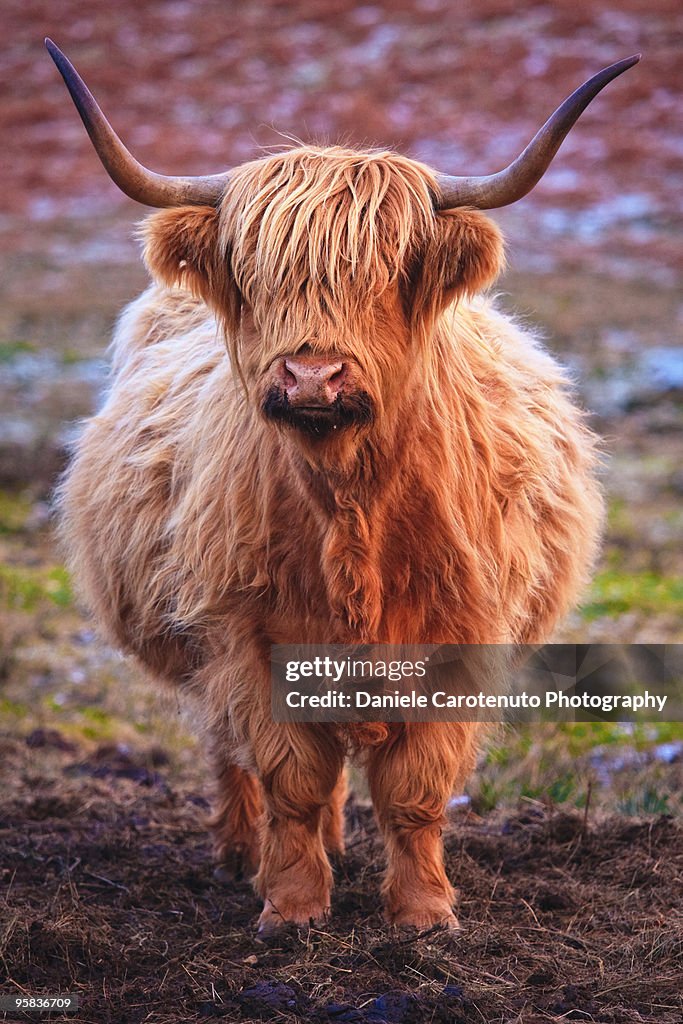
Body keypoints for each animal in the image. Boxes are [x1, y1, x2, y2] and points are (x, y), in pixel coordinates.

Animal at [49, 39, 643, 933]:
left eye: (388, 271)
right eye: (254, 273)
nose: (311, 375)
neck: (351, 504)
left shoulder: (459, 640)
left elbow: (415, 790)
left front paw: (423, 915)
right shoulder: (248, 635)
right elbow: (290, 777)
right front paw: (292, 907)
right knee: (235, 754)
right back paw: (241, 856)